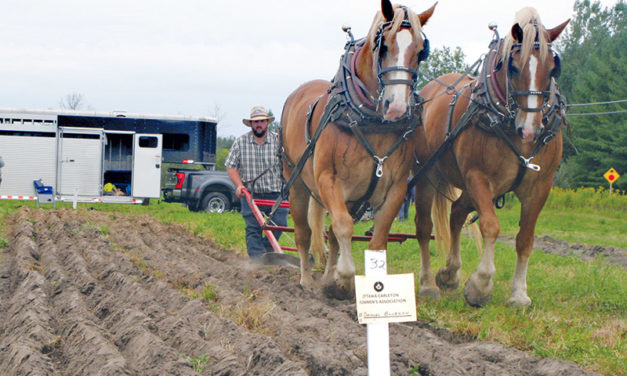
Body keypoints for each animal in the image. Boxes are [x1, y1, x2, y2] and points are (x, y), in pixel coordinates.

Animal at [280, 0, 434, 300]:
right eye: (383, 46)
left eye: (421, 50)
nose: (397, 108)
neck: (369, 119)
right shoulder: (328, 180)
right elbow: (342, 226)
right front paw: (345, 277)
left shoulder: (395, 188)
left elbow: (377, 238)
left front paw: (363, 285)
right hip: (297, 183)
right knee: (305, 233)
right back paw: (308, 280)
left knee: (328, 234)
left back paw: (326, 277)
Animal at [414, 8, 572, 306]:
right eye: (512, 66)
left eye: (552, 68)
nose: (530, 130)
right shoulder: (478, 177)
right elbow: (490, 225)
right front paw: (480, 285)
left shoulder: (540, 186)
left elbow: (525, 238)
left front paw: (519, 293)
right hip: (427, 175)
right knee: (424, 226)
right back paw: (429, 284)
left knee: (457, 212)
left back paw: (450, 273)